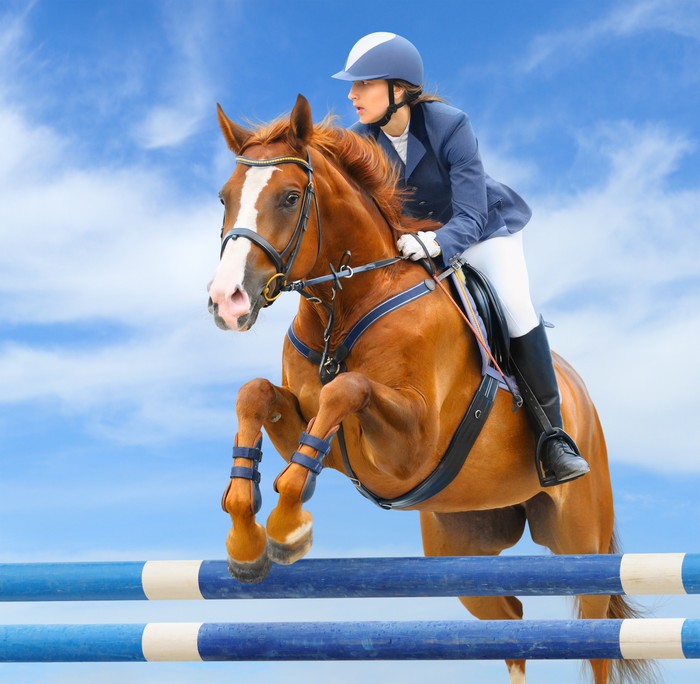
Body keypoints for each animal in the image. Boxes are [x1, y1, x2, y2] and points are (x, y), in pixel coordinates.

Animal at [206, 96, 652, 684]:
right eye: (225, 197)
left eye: (290, 197)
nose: (227, 300)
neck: (347, 303)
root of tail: (582, 395)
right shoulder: (315, 428)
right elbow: (254, 394)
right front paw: (245, 536)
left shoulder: (411, 446)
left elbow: (346, 388)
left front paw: (285, 529)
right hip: (460, 548)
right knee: (511, 621)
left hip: (581, 541)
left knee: (596, 636)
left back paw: (562, 456)